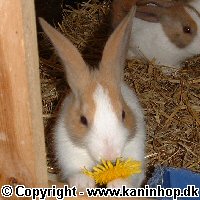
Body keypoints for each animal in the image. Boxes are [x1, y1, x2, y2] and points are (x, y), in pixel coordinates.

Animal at [39, 6, 145, 191]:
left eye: (123, 114)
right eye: (83, 120)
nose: (110, 154)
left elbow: (132, 177)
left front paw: (117, 184)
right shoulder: (69, 153)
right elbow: (75, 170)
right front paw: (83, 184)